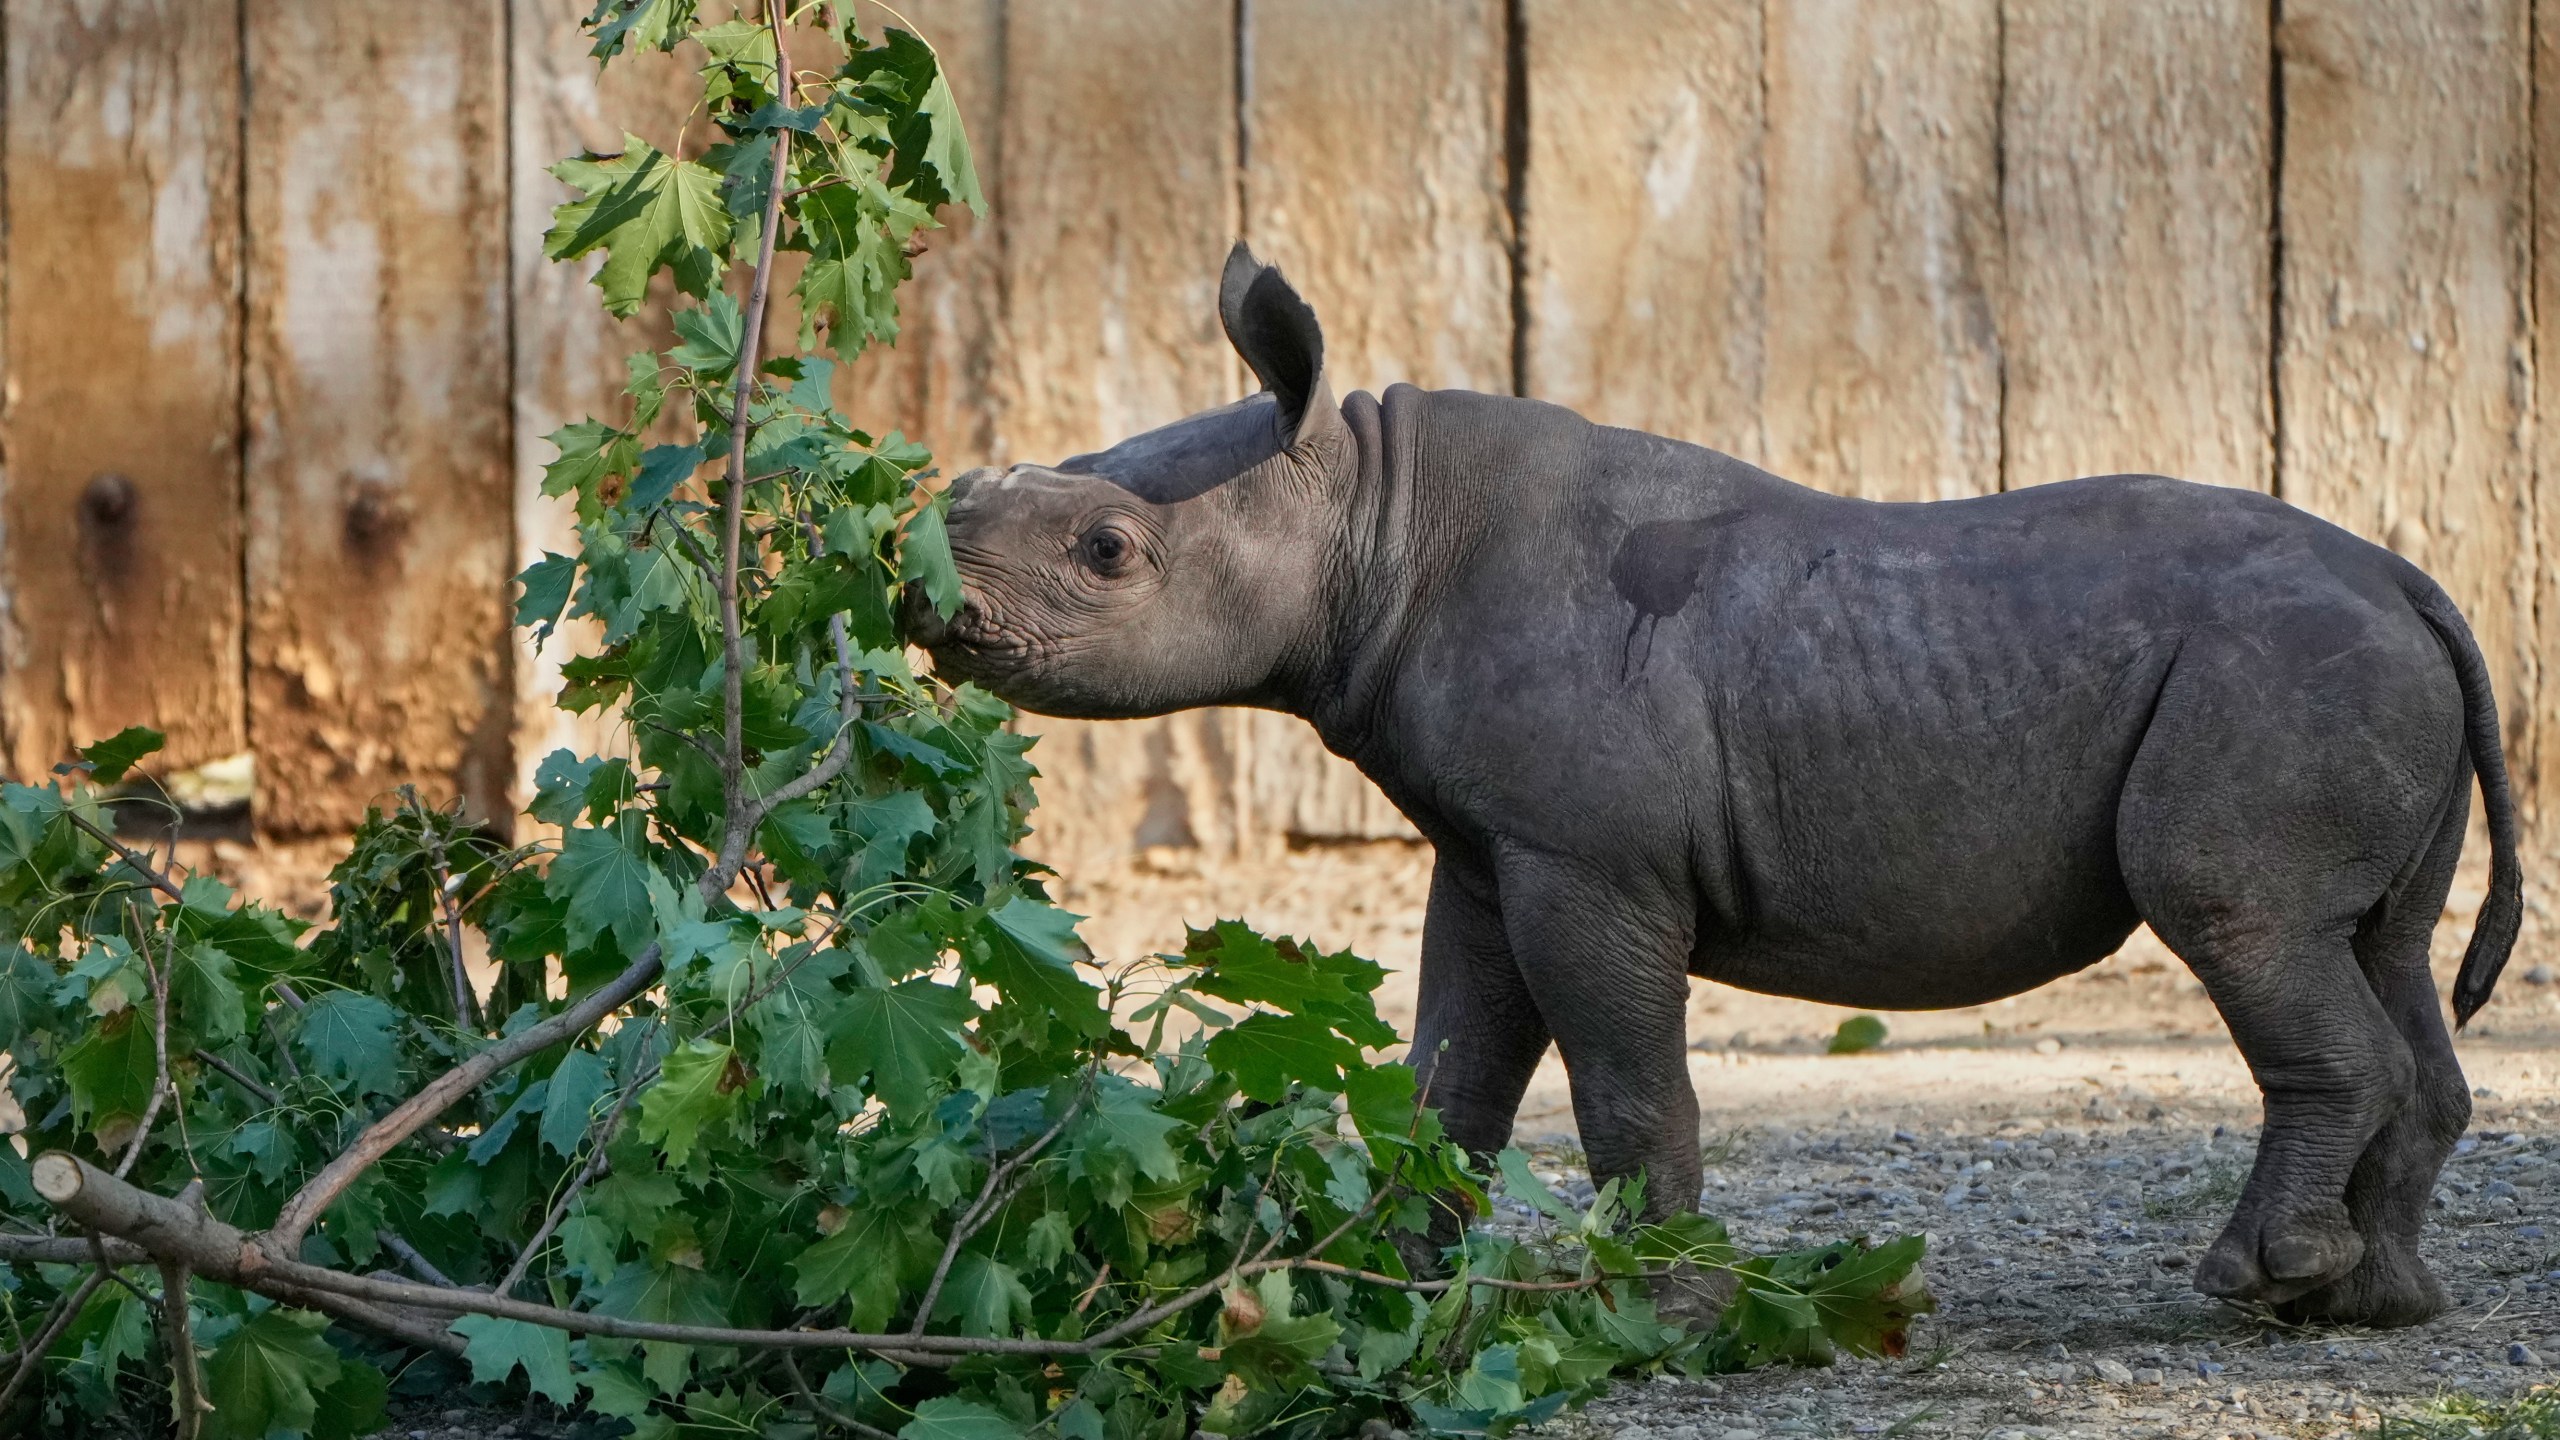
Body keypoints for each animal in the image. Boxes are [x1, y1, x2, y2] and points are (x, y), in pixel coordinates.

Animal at [904, 243, 2524, 1327]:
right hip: (2357, 665)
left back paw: (2255, 1282)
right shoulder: (1494, 850)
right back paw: (2372, 1304)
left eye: (1108, 550)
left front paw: (1655, 1308)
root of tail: (2410, 578)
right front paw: (1394, 1288)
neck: (1369, 505)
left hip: (2278, 669)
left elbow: (1625, 1086)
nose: (928, 592)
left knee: (2237, 913)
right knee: (2377, 947)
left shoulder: (1588, 861)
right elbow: (1449, 1077)